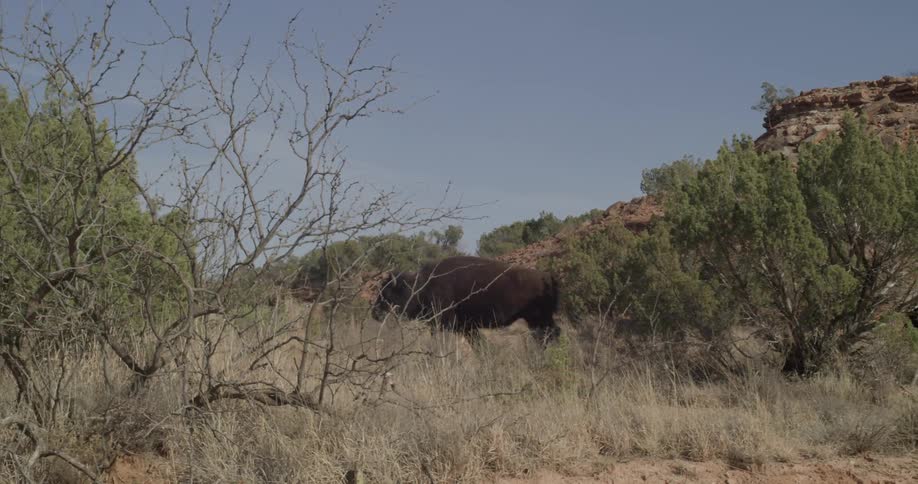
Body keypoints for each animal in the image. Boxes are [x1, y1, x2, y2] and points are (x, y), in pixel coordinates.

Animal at [372, 256, 561, 346]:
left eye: (387, 293)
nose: (375, 313)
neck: (422, 285)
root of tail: (547, 276)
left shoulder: (442, 324)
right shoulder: (467, 328)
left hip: (539, 319)